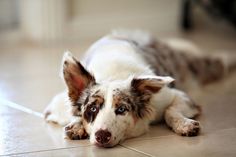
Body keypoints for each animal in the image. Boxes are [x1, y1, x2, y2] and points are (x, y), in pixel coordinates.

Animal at [43, 29, 235, 147]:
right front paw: (76, 125)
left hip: (197, 67)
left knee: (218, 62)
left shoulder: (179, 96)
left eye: (122, 109)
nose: (102, 136)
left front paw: (184, 124)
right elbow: (71, 113)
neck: (114, 74)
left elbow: (170, 111)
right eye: (92, 108)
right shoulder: (55, 107)